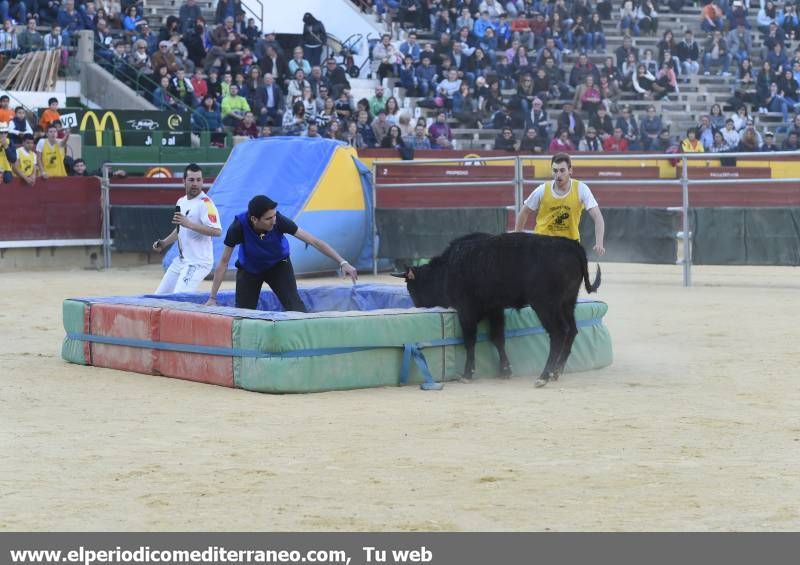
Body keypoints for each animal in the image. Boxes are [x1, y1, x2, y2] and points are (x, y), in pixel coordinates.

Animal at [394, 231, 600, 386]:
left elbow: (470, 340)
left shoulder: (466, 310)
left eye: (412, 288)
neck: (447, 269)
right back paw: (556, 371)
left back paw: (544, 376)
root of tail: (571, 246)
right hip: (568, 303)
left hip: (545, 305)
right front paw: (505, 370)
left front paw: (467, 374)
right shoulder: (495, 309)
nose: (417, 307)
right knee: (572, 330)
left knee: (558, 332)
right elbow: (498, 338)